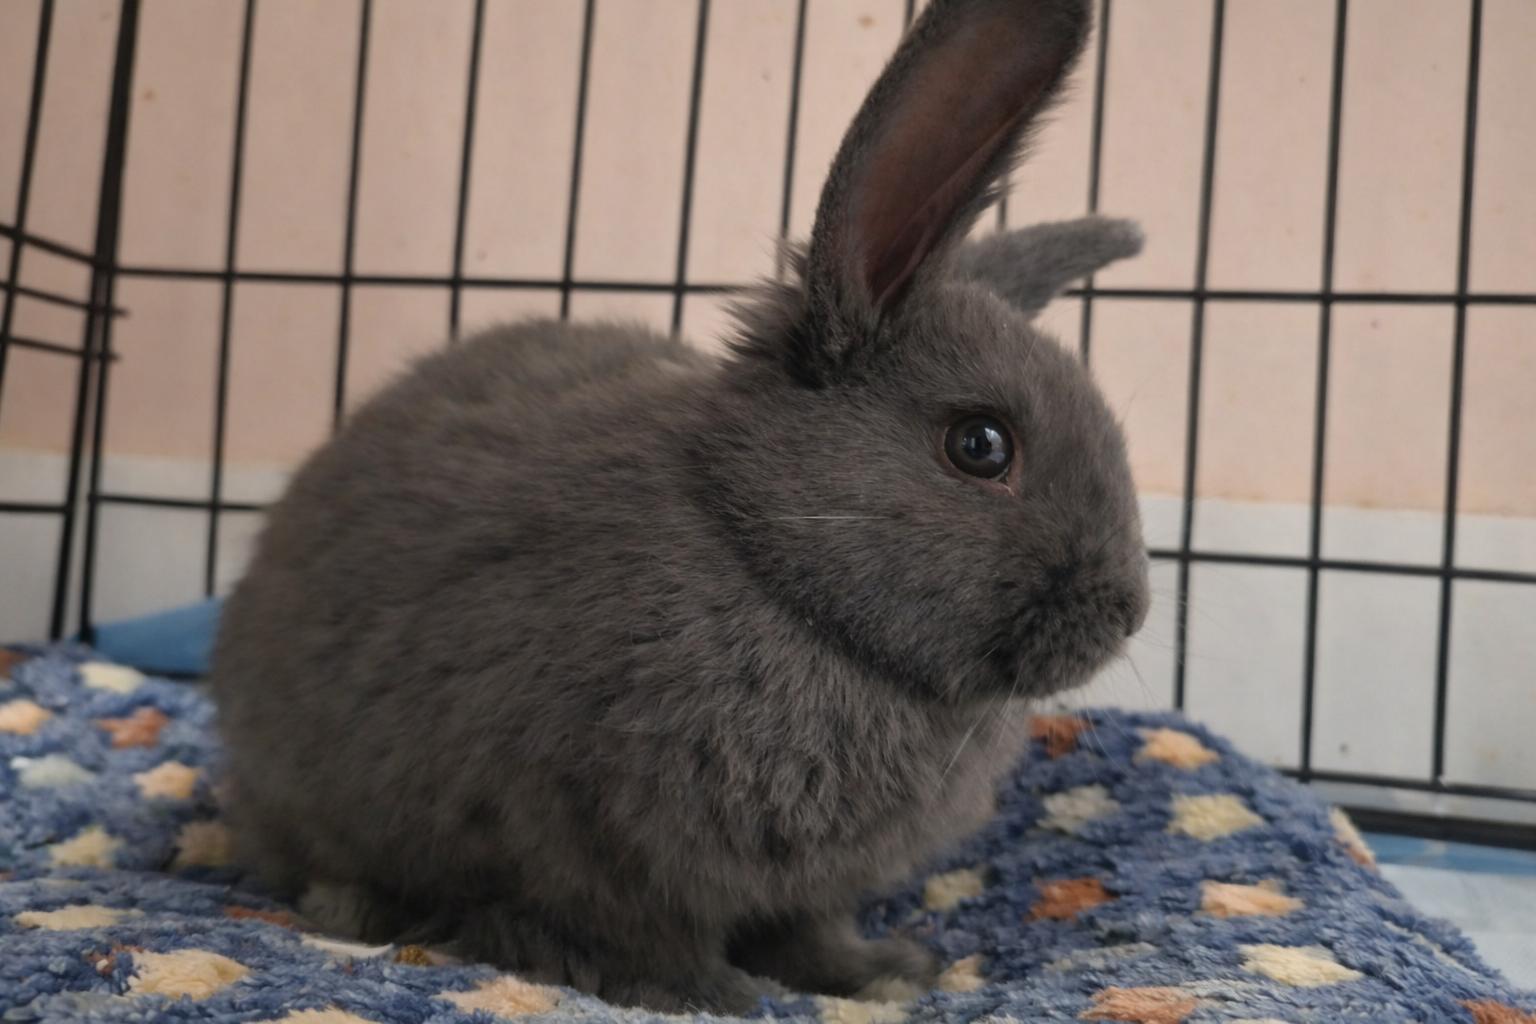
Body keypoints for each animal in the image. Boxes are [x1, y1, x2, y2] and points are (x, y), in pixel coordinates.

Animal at [210, 0, 1149, 1013]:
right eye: (981, 446)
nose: (1128, 612)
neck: (760, 556)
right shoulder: (578, 835)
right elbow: (639, 933)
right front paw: (710, 996)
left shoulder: (800, 885)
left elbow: (809, 930)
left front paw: (878, 978)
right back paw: (356, 908)